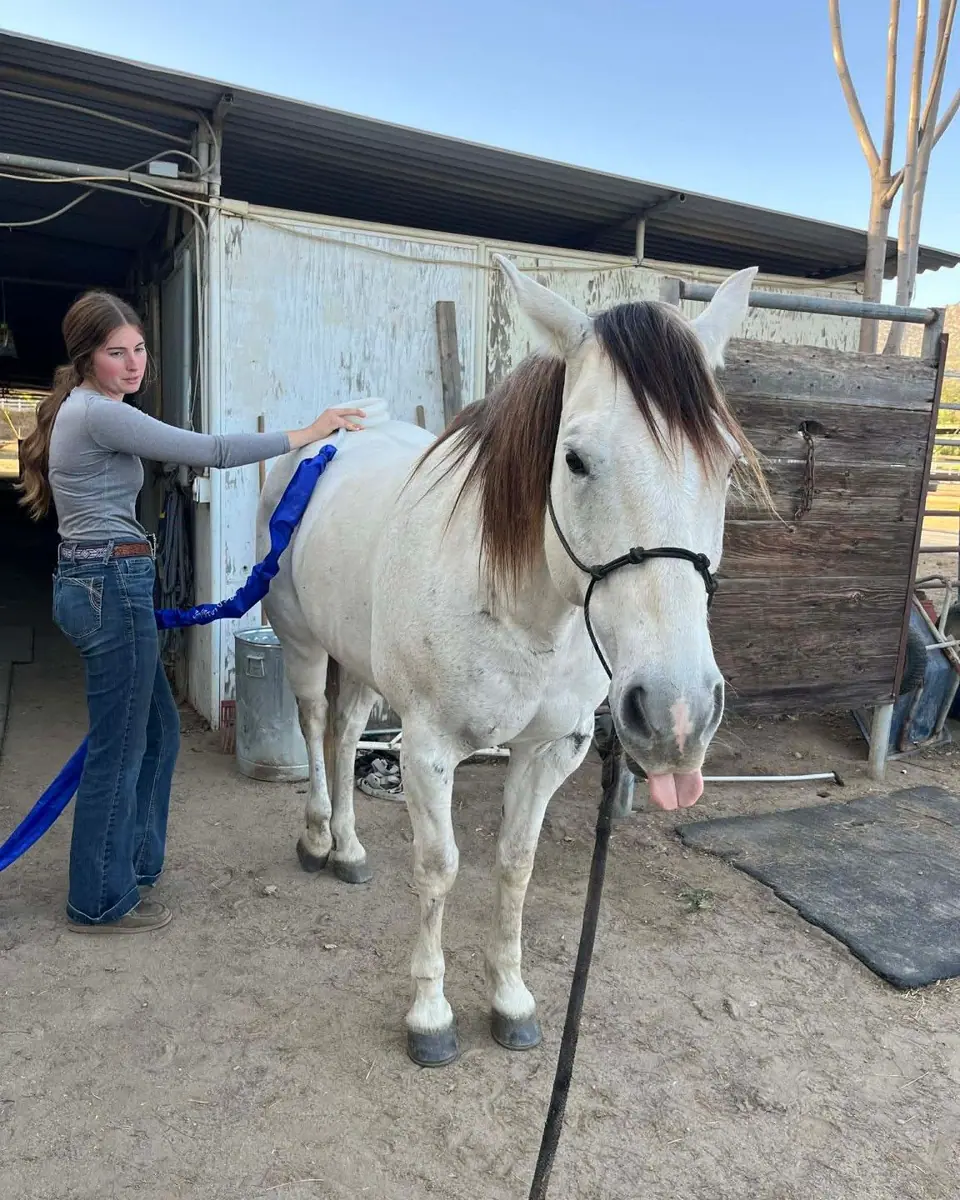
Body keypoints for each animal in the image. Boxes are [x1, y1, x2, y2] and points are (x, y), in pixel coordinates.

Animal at [257, 255, 764, 1067]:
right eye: (575, 459)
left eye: (725, 465)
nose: (677, 714)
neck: (525, 612)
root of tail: (329, 439)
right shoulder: (428, 751)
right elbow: (439, 869)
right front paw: (430, 1016)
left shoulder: (551, 750)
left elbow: (515, 863)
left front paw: (511, 1000)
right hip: (303, 643)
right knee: (311, 726)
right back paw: (316, 837)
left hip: (362, 661)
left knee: (344, 733)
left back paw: (349, 849)